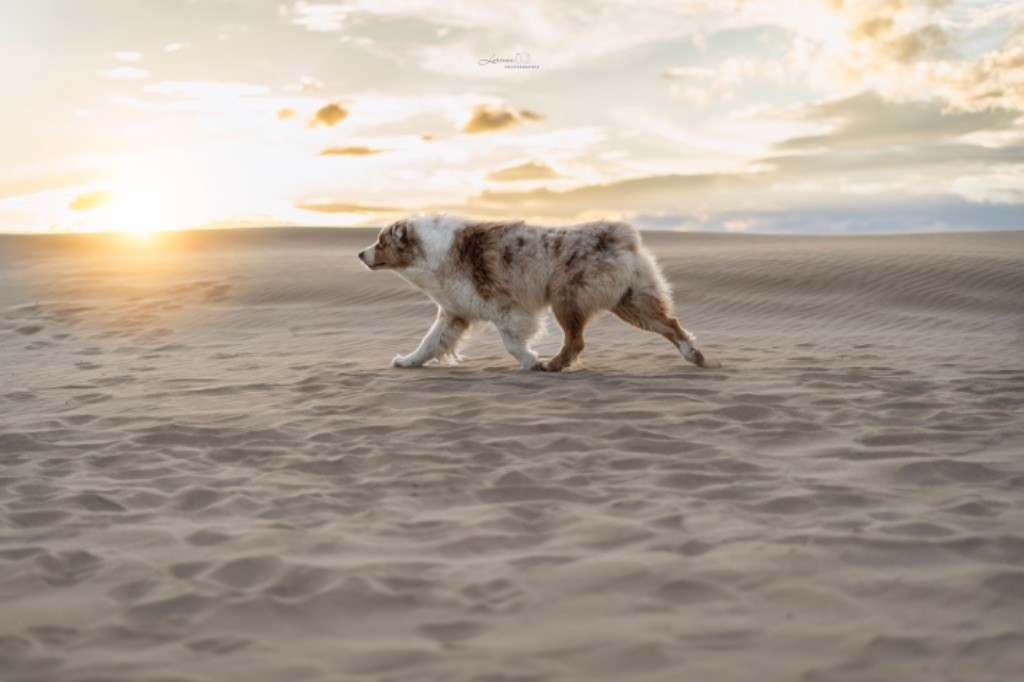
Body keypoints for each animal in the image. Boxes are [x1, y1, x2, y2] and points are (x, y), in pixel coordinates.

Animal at [360, 215, 720, 368]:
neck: (432, 251)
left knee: (576, 340)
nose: (361, 254)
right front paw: (407, 361)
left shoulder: (504, 307)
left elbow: (510, 342)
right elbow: (429, 342)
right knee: (670, 324)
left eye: (380, 242)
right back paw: (695, 356)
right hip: (630, 301)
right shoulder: (454, 313)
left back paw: (554, 364)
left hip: (566, 296)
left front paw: (530, 361)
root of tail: (622, 234)